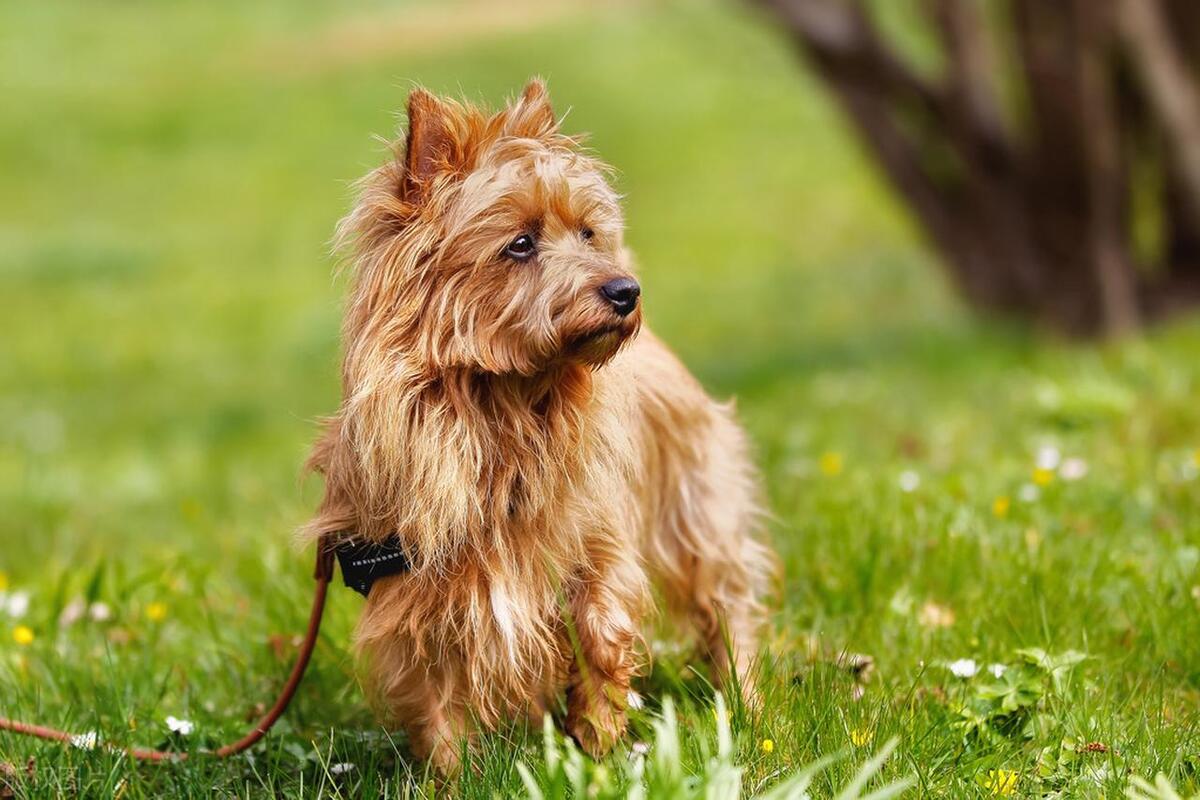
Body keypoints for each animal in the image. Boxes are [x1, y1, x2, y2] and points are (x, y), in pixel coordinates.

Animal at [304, 79, 772, 767]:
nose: (626, 291)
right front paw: (451, 776)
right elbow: (435, 696)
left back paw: (747, 704)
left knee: (725, 603)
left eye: (587, 232)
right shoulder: (418, 588)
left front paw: (598, 750)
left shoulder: (597, 544)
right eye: (519, 243)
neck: (504, 405)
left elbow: (601, 639)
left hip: (695, 504)